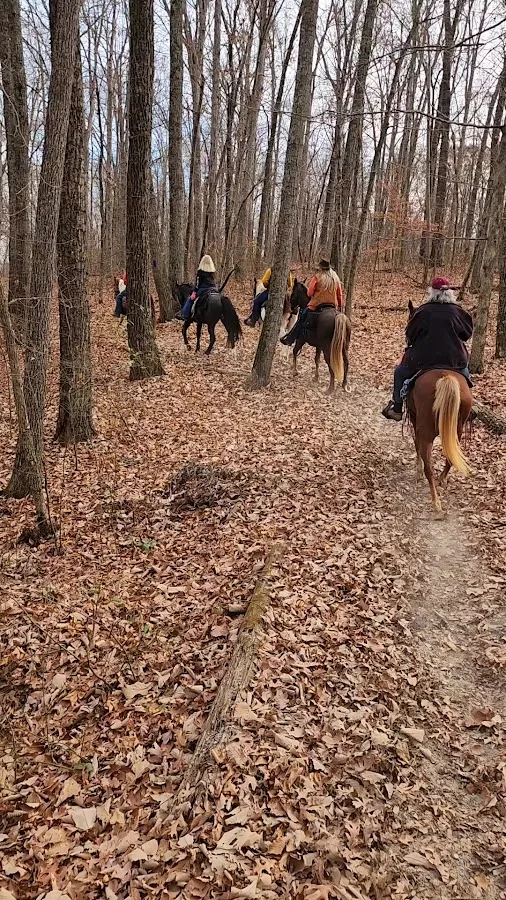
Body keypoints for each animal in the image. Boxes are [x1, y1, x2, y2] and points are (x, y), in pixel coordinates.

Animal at [405, 300, 472, 516]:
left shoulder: (415, 419)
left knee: (429, 466)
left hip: (426, 429)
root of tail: (446, 377)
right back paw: (442, 482)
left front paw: (416, 471)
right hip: (456, 429)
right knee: (450, 458)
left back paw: (436, 503)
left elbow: (416, 446)